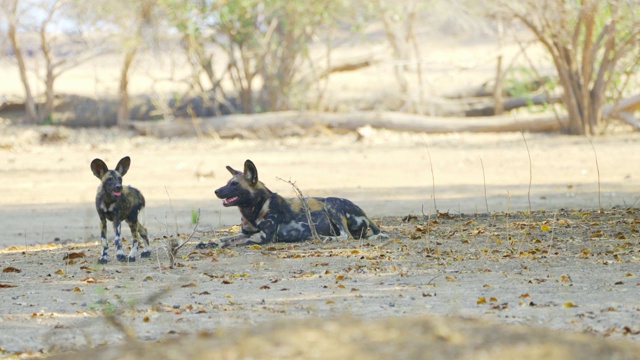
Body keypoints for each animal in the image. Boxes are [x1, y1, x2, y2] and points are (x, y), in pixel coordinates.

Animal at [198, 160, 388, 248]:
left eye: (234, 184)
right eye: (227, 183)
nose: (216, 191)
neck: (253, 209)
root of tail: (365, 214)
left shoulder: (264, 237)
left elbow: (230, 242)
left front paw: (218, 245)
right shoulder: (247, 233)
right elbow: (224, 238)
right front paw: (208, 243)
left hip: (331, 203)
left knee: (345, 236)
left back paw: (324, 238)